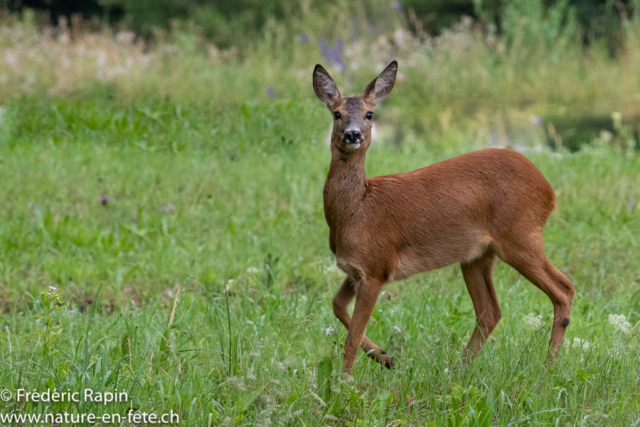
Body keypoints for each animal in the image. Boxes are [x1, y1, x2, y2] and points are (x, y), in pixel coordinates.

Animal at [314, 60, 576, 374]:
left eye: (369, 113)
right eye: (336, 113)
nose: (353, 134)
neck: (357, 211)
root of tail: (548, 191)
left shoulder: (376, 266)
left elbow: (351, 335)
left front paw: (344, 380)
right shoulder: (355, 269)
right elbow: (336, 305)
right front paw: (386, 357)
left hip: (520, 235)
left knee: (563, 289)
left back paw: (549, 368)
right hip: (477, 255)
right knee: (490, 311)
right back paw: (459, 369)